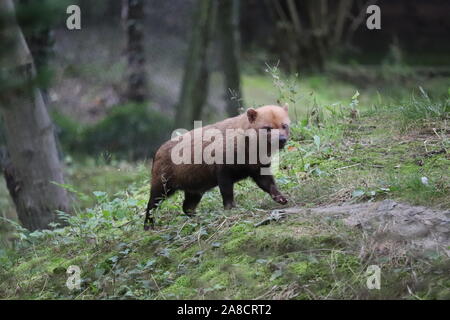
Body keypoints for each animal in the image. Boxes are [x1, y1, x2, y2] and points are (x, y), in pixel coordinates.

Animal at [145, 104, 292, 229]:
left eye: (284, 125)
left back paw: (197, 217)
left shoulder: (259, 168)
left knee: (187, 207)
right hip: (162, 185)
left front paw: (282, 198)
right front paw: (231, 208)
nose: (282, 139)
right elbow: (226, 192)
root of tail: (157, 153)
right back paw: (148, 226)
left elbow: (269, 184)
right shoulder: (223, 170)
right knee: (151, 205)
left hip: (194, 189)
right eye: (267, 128)